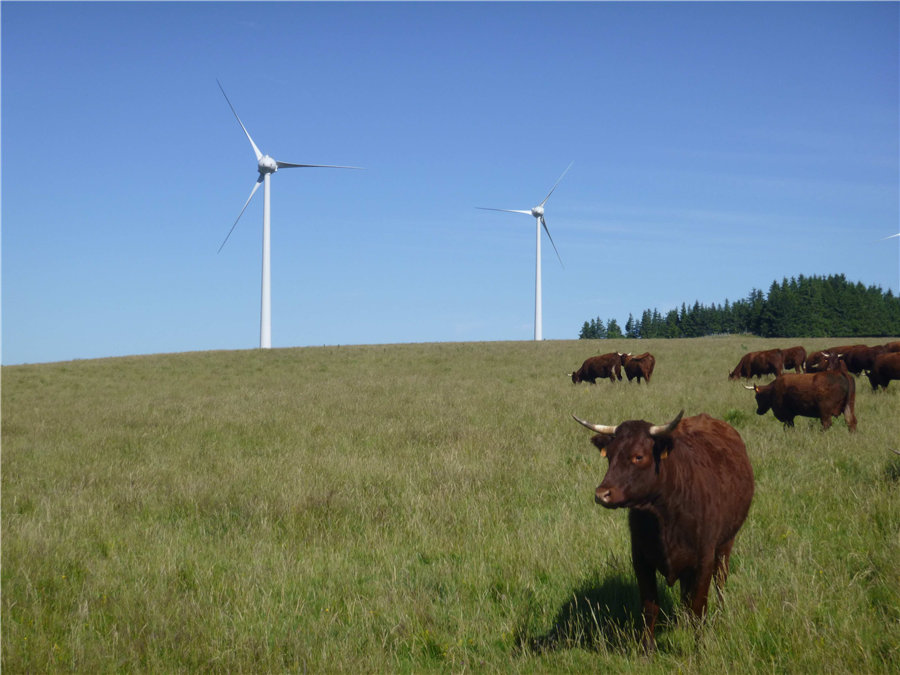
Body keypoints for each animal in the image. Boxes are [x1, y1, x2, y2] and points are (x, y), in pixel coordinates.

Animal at [572, 412, 756, 656]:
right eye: (609, 456)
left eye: (638, 456)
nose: (602, 494)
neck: (663, 517)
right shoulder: (641, 560)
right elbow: (650, 607)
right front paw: (646, 651)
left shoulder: (704, 560)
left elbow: (699, 609)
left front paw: (699, 650)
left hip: (726, 543)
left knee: (721, 581)